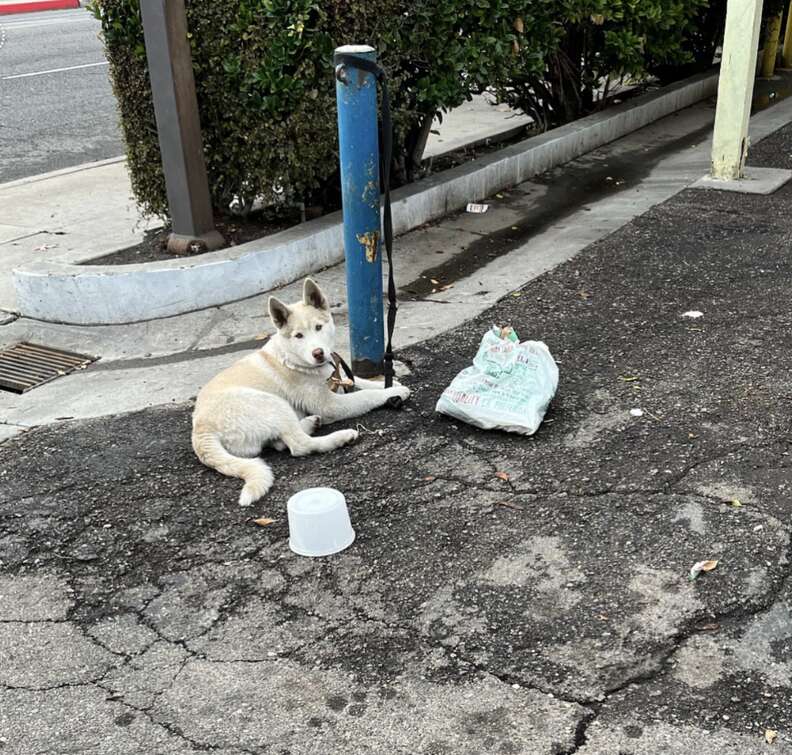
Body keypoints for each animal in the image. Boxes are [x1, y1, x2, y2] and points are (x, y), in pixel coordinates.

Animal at [190, 280, 408, 508]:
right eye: (298, 336)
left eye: (318, 327)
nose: (318, 353)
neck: (292, 358)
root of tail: (201, 431)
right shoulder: (330, 405)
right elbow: (363, 396)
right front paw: (394, 391)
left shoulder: (336, 380)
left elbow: (358, 382)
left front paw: (387, 384)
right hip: (273, 403)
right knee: (299, 445)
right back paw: (339, 437)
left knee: (281, 442)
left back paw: (311, 423)